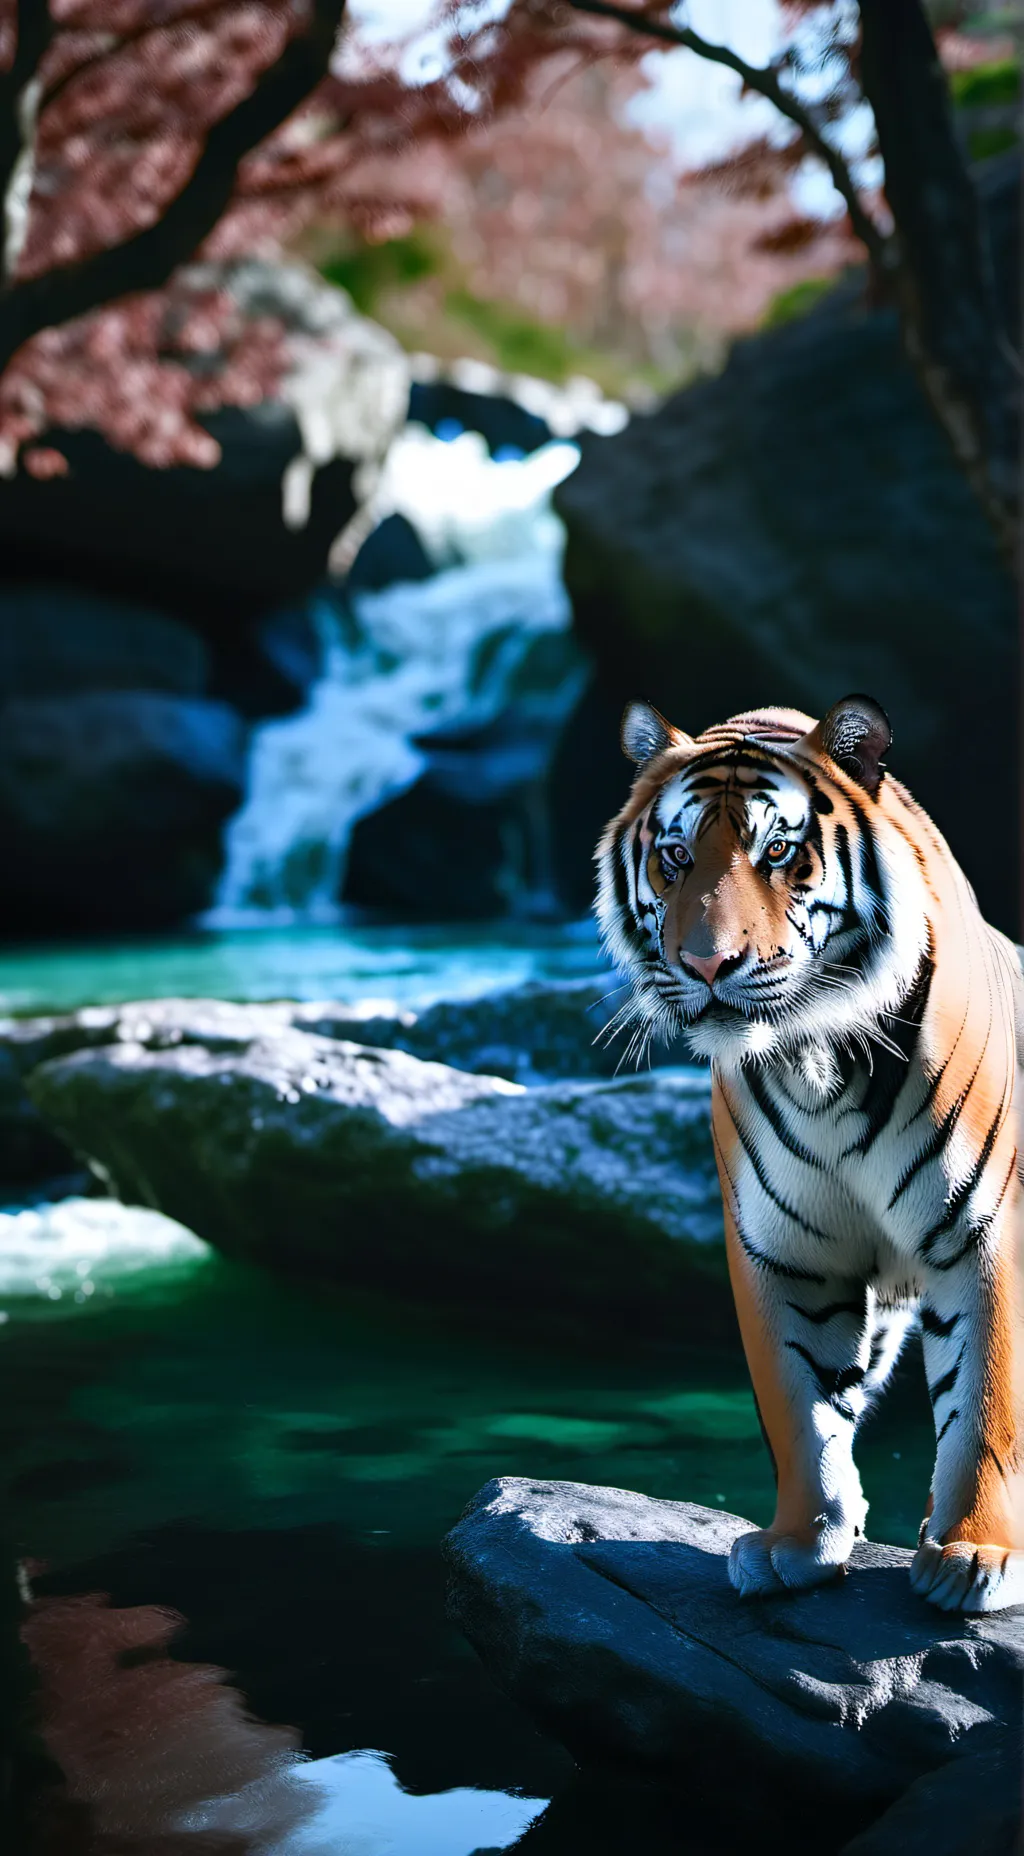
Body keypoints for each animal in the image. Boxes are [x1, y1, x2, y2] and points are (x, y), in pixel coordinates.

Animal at [596, 693, 1024, 1612]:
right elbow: (800, 1402)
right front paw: (800, 1541)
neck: (816, 1059)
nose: (707, 963)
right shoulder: (782, 1247)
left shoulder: (983, 1231)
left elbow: (985, 1398)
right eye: (674, 857)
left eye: (779, 851)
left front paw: (976, 1554)